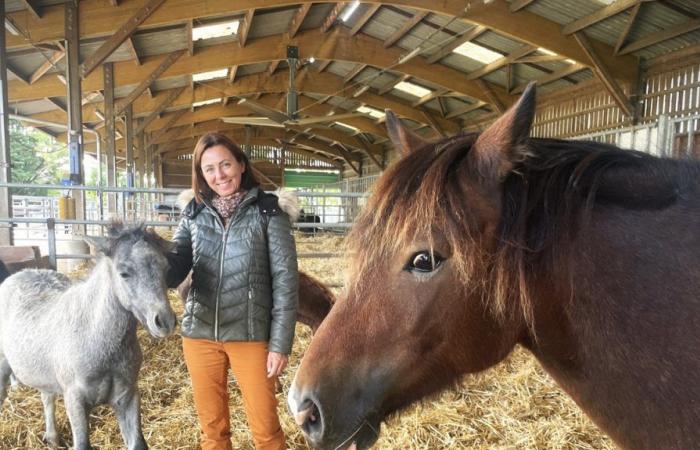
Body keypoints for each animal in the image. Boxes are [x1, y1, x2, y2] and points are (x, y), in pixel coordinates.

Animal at [0, 224, 178, 450]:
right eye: (124, 273)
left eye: (166, 268)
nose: (165, 321)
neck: (94, 336)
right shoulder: (75, 400)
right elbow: (82, 443)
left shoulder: (128, 396)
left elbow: (137, 443)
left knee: (46, 396)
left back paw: (52, 437)